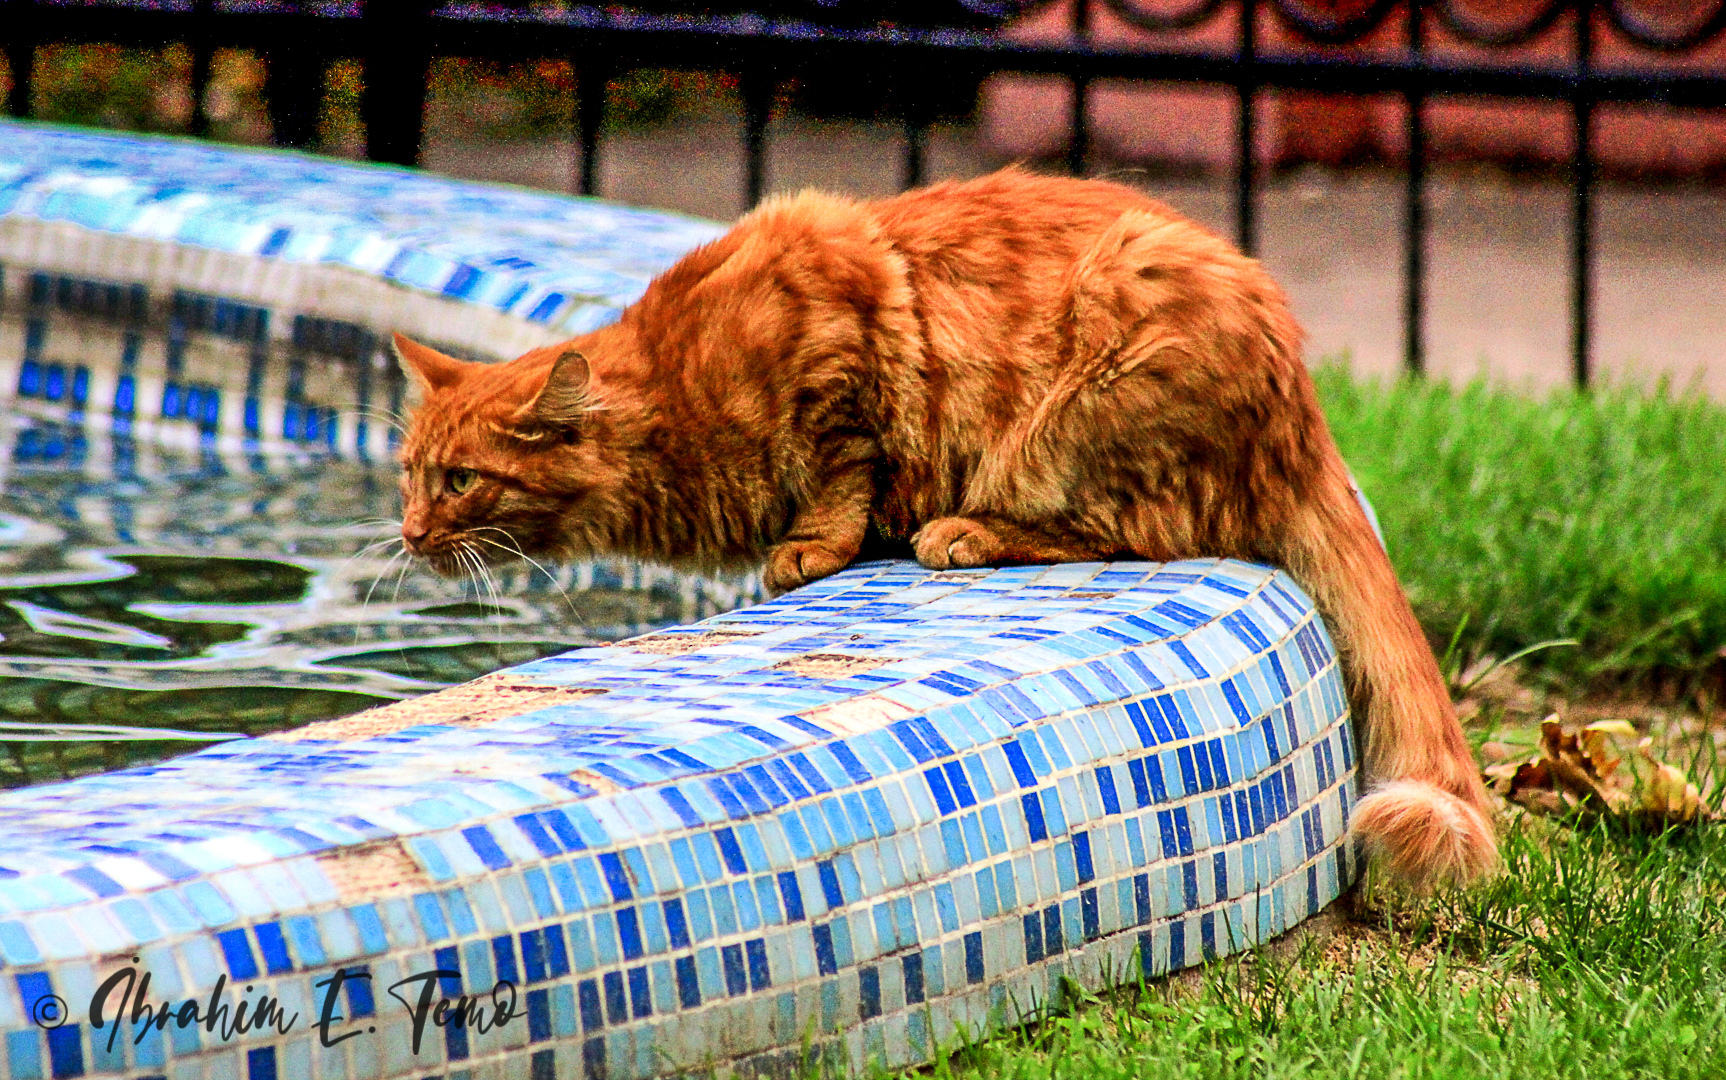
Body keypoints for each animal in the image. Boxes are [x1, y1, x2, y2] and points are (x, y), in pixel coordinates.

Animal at [392, 167, 1497, 891]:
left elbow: (842, 468)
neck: (673, 393)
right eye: (408, 474)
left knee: (1131, 529)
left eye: (460, 481)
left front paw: (813, 545)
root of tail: (1302, 416)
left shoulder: (840, 333)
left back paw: (964, 531)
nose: (405, 533)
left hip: (1093, 382)